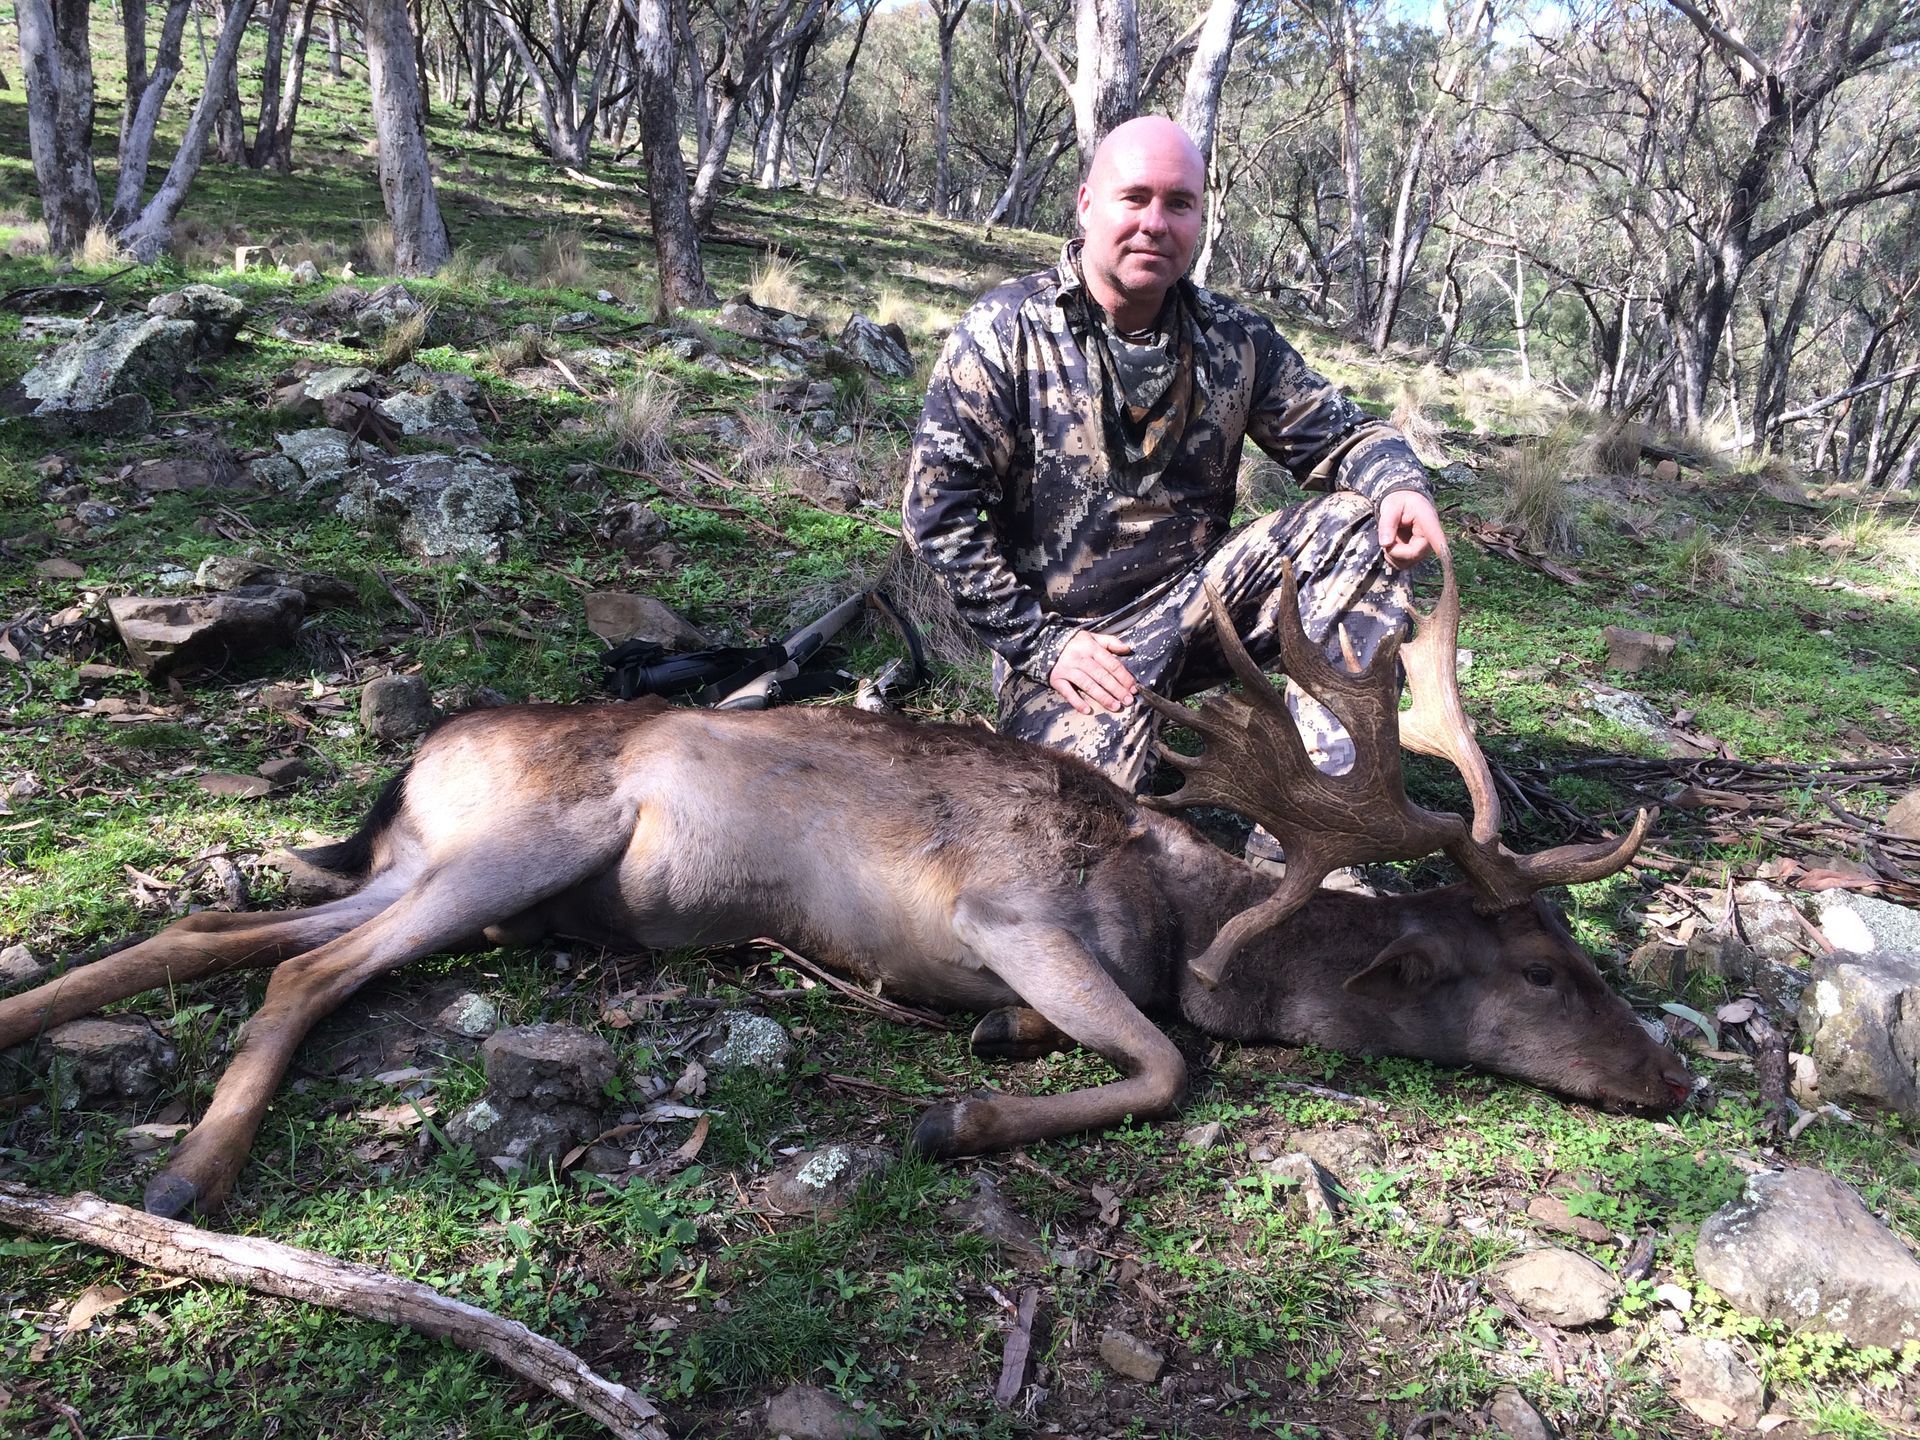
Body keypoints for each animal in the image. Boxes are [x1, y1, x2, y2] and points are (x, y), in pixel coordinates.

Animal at [0, 549, 1690, 1218]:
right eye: (1546, 970)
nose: (1670, 1080)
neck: (1197, 925)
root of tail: (414, 768)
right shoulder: (1015, 913)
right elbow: (1165, 1064)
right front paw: (962, 1114)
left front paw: (997, 1047)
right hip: (539, 840)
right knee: (300, 963)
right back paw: (189, 1174)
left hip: (444, 864)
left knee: (218, 920)